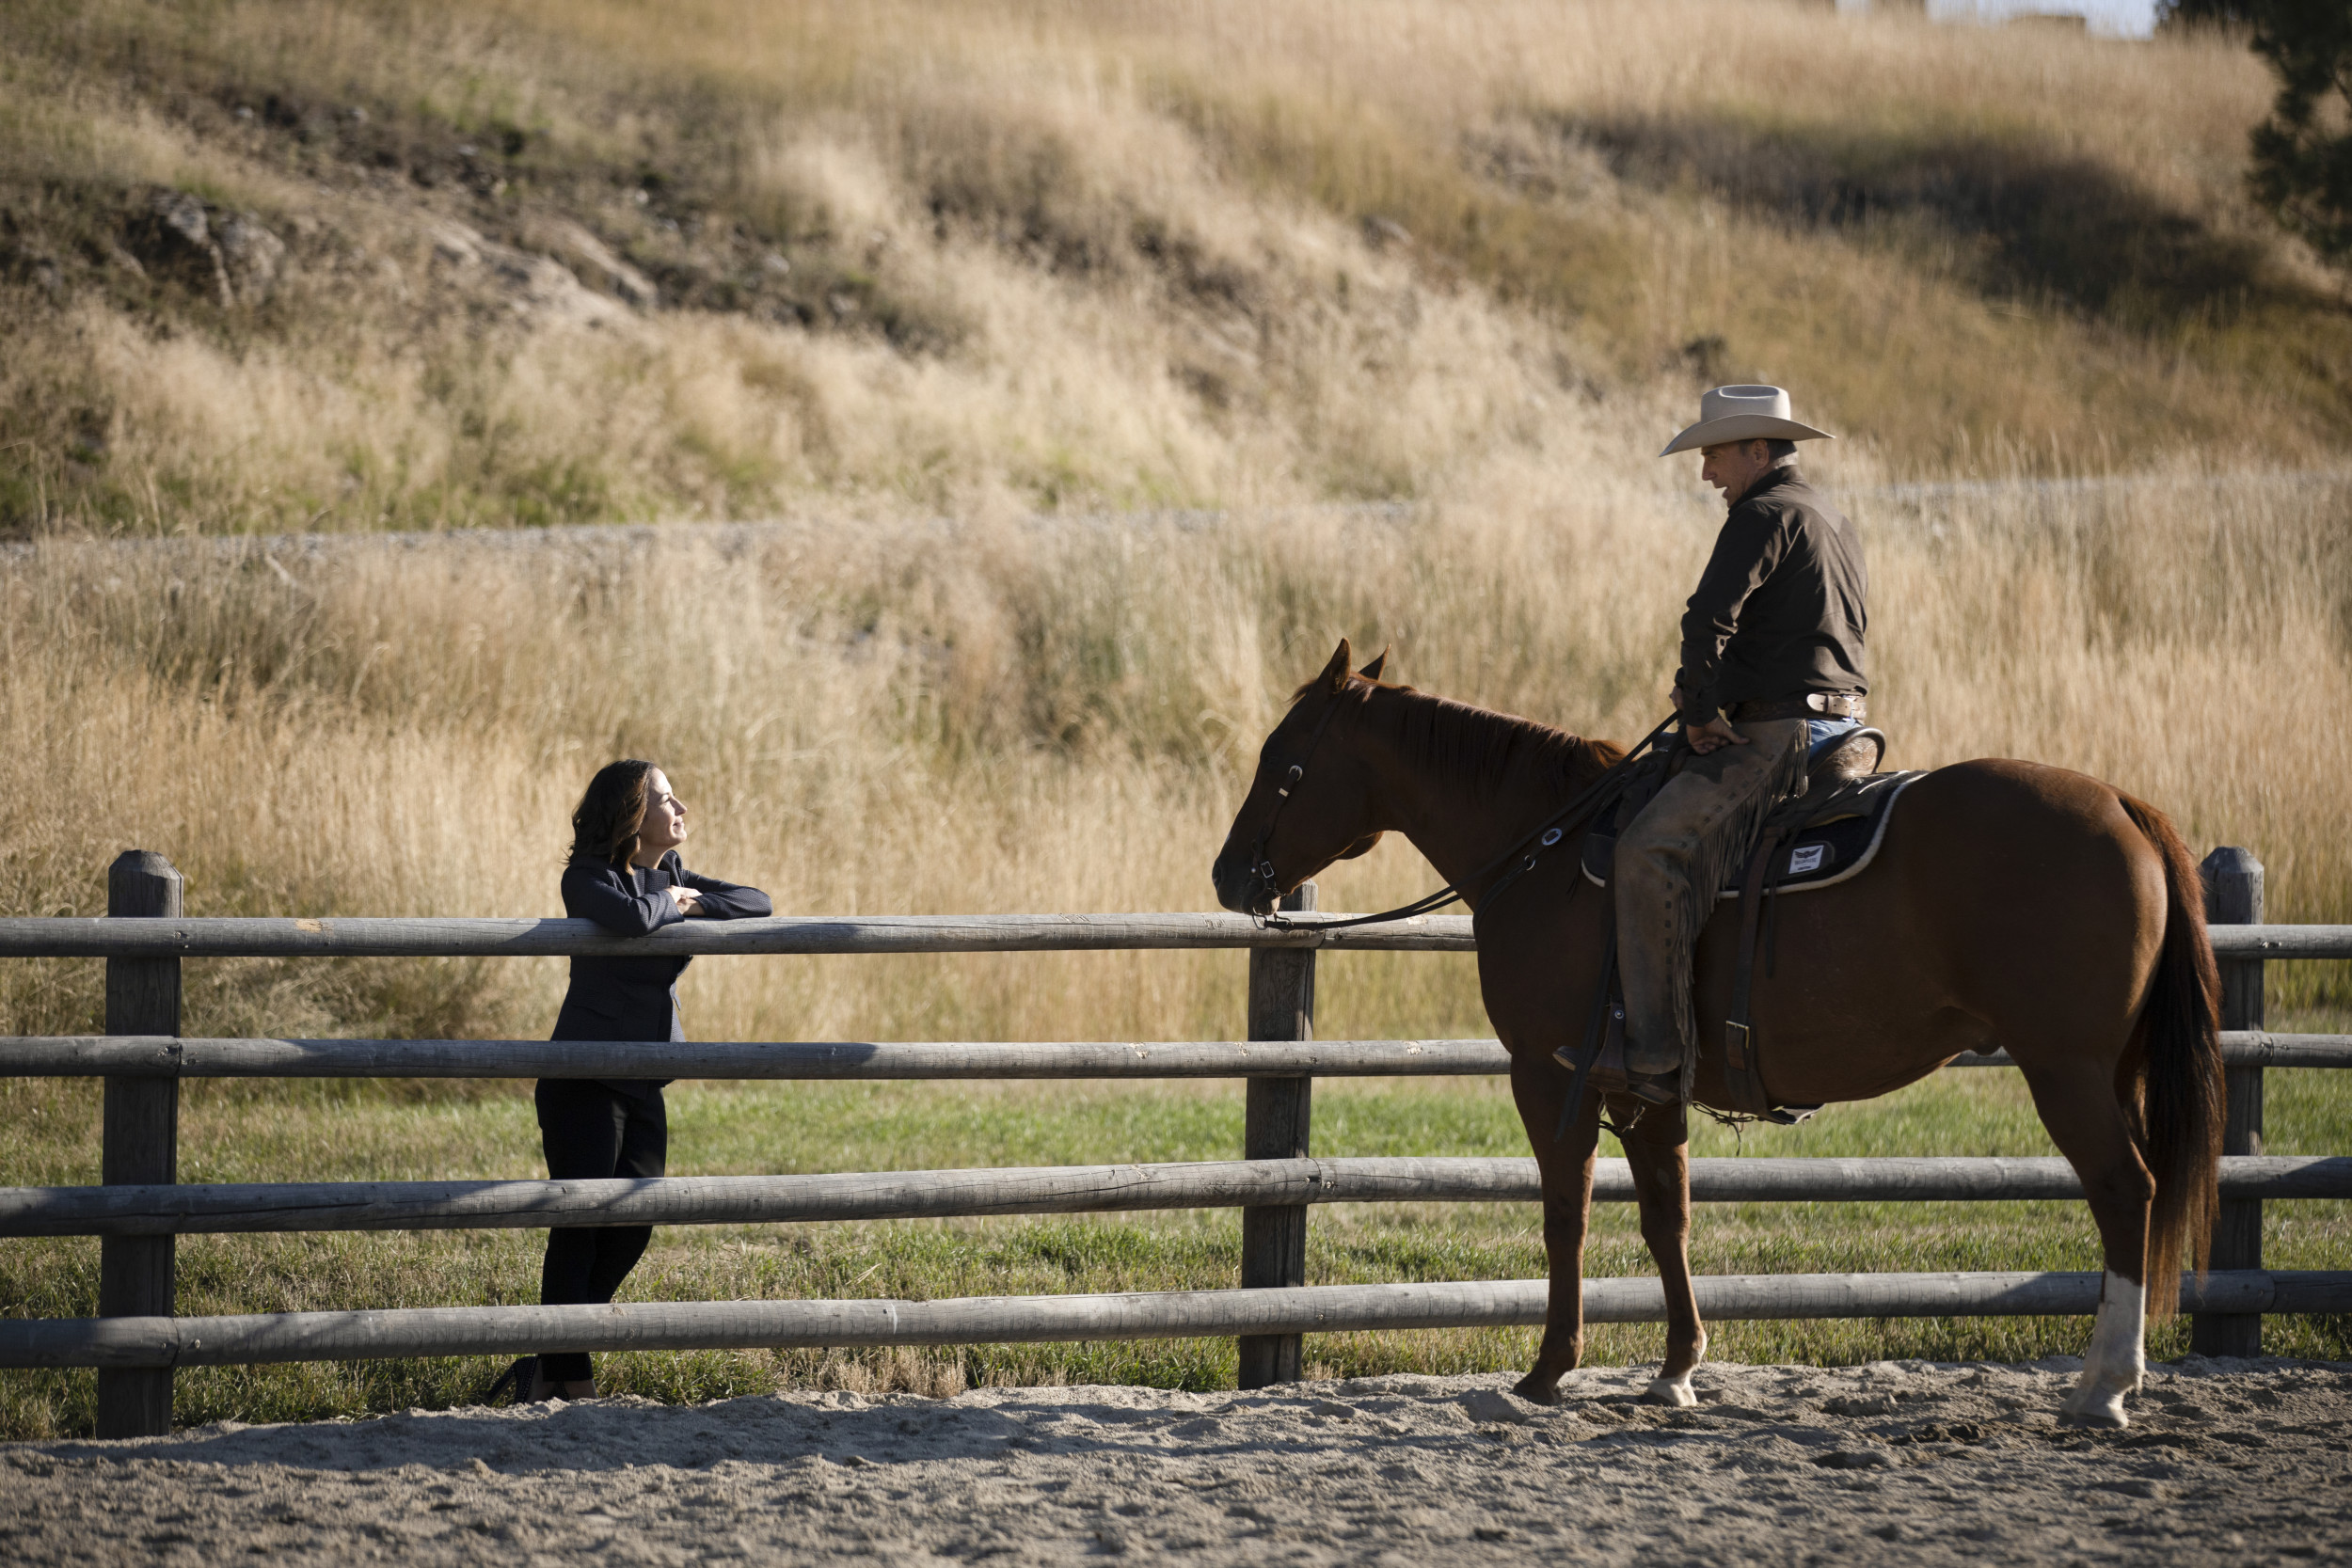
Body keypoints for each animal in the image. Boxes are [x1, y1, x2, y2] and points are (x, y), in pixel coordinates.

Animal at [1214, 639, 2220, 1438]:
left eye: (1281, 761)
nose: (1228, 874)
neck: (1546, 846)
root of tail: (2121, 803)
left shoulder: (1548, 1075)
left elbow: (1566, 1214)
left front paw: (1547, 1370)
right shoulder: (1648, 1083)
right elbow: (1669, 1216)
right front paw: (1676, 1370)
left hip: (2067, 1070)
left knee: (2125, 1191)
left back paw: (2103, 1385)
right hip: (2109, 1069)